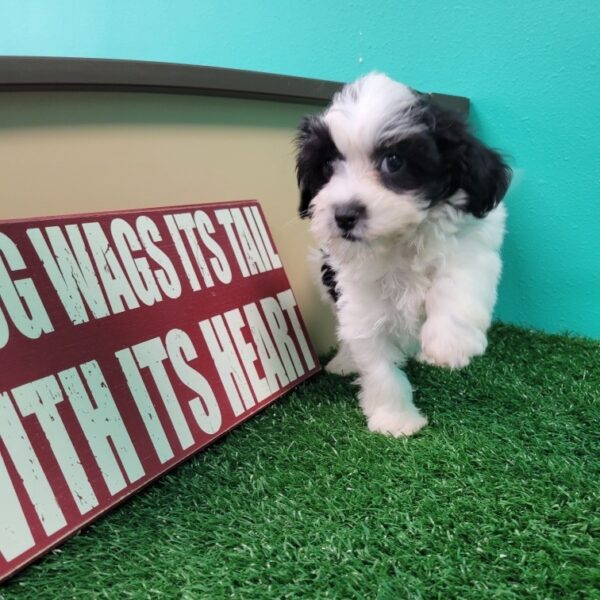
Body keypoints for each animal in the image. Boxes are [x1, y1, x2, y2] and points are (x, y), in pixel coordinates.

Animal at [296, 74, 510, 436]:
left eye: (394, 161)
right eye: (326, 166)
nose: (344, 215)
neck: (397, 240)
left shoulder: (475, 240)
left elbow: (455, 279)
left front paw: (449, 342)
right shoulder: (357, 293)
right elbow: (375, 356)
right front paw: (394, 418)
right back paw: (345, 360)